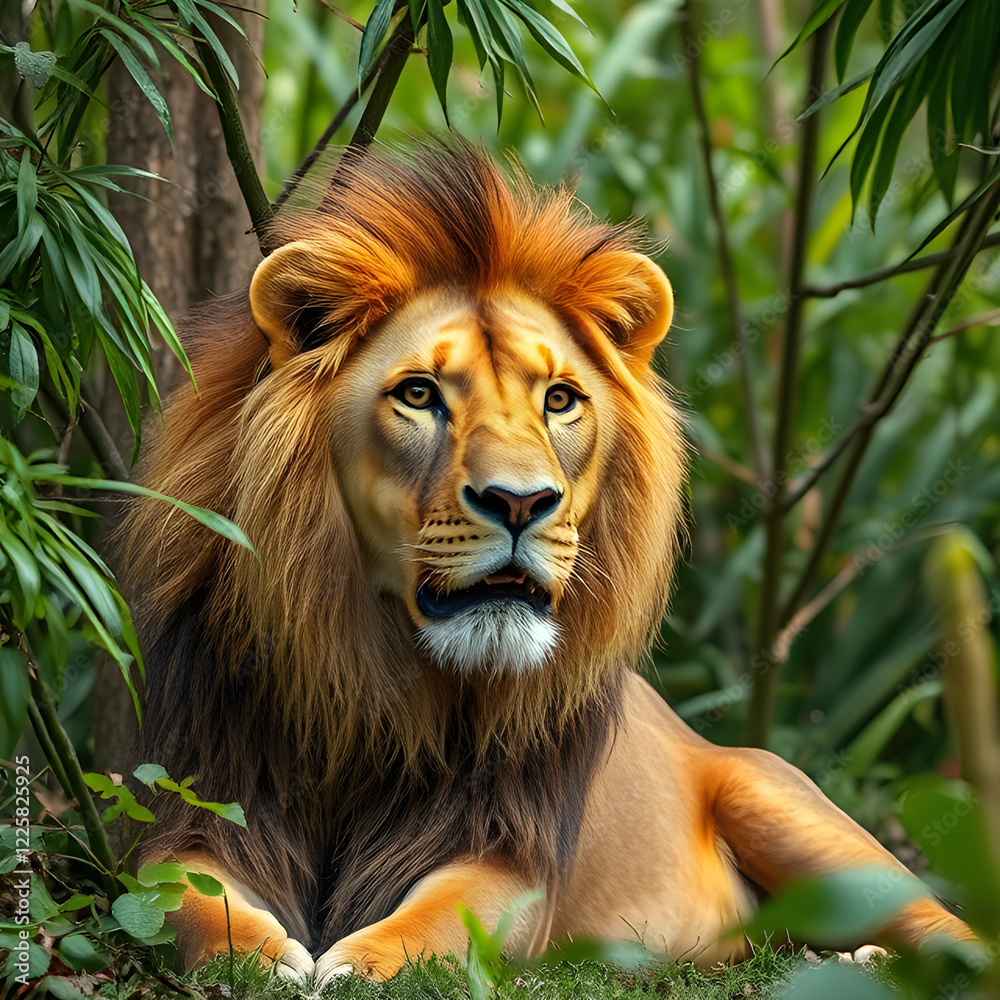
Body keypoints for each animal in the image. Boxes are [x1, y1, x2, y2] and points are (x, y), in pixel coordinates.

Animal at [121, 140, 971, 985]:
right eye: (419, 395)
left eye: (559, 400)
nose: (521, 501)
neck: (370, 677)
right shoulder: (202, 805)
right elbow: (179, 898)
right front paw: (257, 958)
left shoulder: (508, 852)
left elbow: (440, 922)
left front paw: (361, 963)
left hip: (783, 804)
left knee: (949, 925)